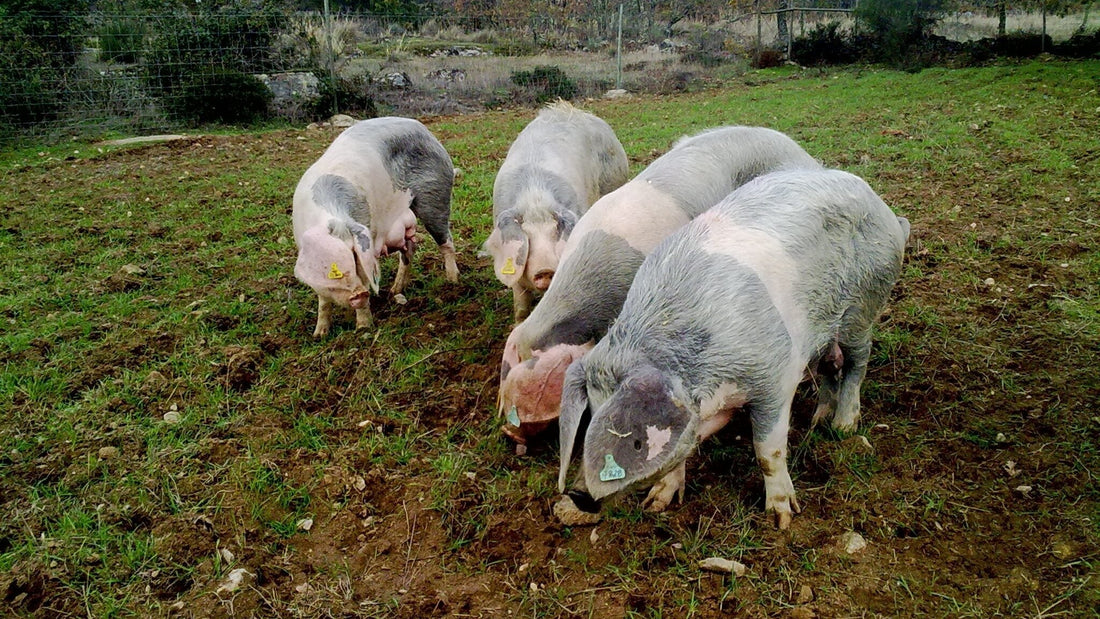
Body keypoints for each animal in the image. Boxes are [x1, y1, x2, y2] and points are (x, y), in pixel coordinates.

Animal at [292, 117, 459, 337]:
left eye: (354, 256)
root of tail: (425, 130)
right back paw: (395, 290)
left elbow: (365, 276)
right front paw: (319, 335)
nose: (359, 293)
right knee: (409, 250)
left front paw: (363, 329)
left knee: (446, 241)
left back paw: (453, 282)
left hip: (435, 195)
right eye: (330, 267)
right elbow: (323, 301)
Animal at [556, 168, 910, 529]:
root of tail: (876, 200)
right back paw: (817, 419)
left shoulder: (776, 378)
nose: (577, 494)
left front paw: (781, 519)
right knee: (829, 364)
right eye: (591, 410)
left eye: (628, 434)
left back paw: (843, 426)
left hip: (863, 307)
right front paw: (656, 504)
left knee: (857, 362)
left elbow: (768, 451)